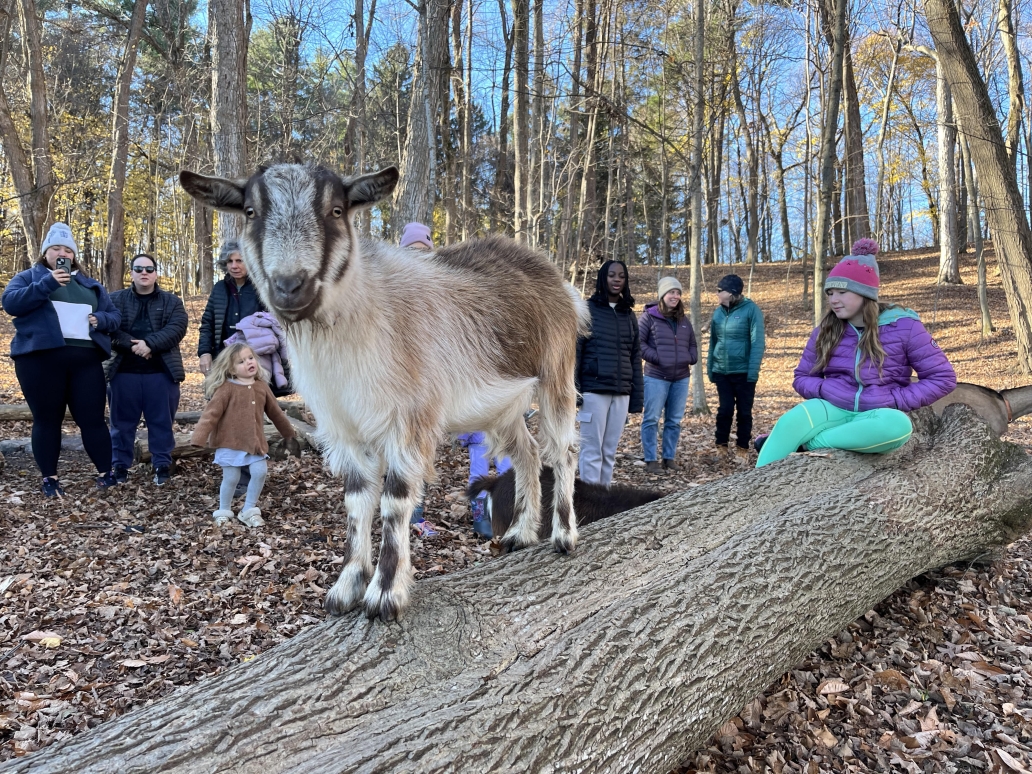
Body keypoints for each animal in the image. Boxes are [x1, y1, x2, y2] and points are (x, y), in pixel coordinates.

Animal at [180, 163, 589, 621]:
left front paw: (385, 594)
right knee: (527, 453)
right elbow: (357, 500)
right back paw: (520, 532)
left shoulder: (408, 420)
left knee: (563, 449)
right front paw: (346, 588)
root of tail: (558, 280)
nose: (290, 286)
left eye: (336, 210)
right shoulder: (343, 425)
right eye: (250, 211)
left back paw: (564, 536)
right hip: (500, 406)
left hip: (556, 374)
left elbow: (394, 501)